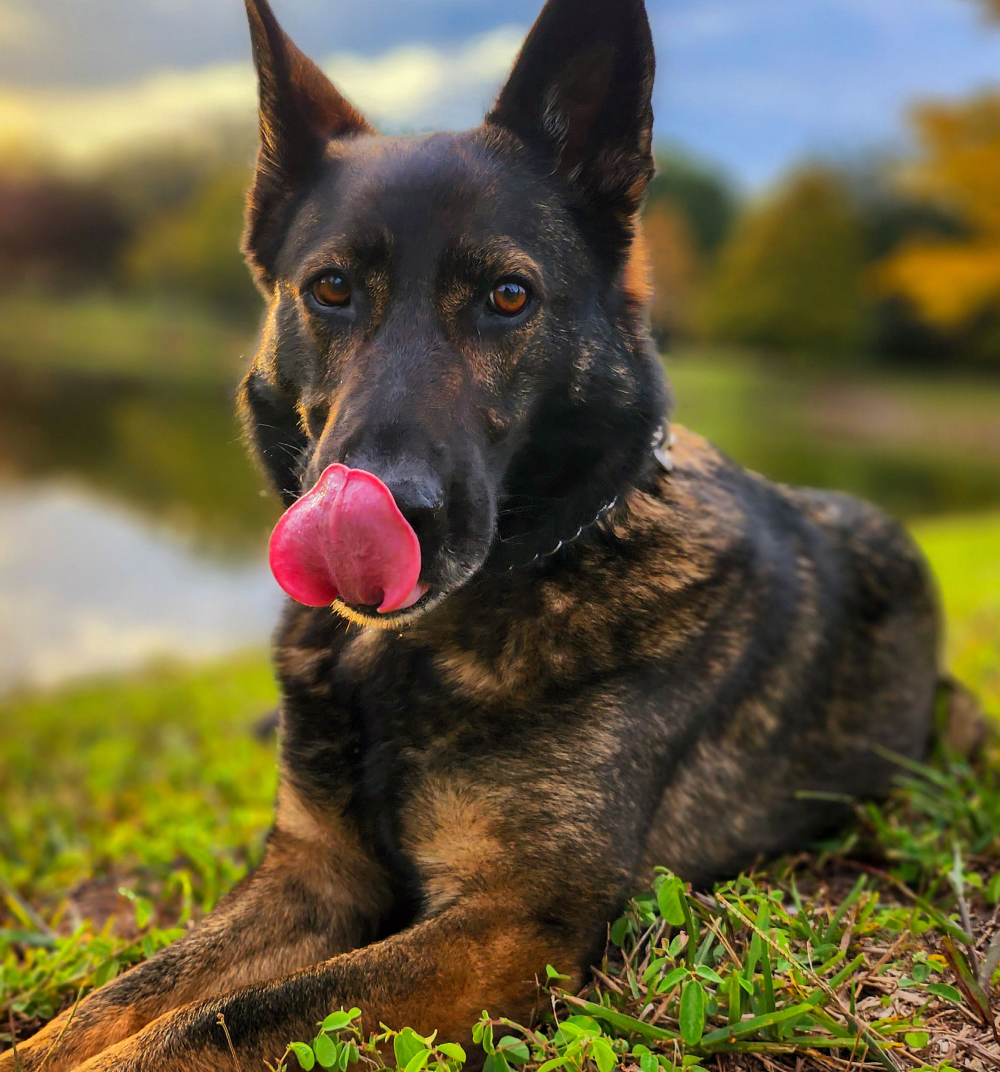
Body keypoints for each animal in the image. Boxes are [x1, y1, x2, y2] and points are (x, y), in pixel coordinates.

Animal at [0, 0, 938, 1067]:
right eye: (330, 289)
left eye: (508, 296)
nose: (390, 509)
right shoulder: (312, 876)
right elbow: (122, 999)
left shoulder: (509, 924)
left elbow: (221, 1018)